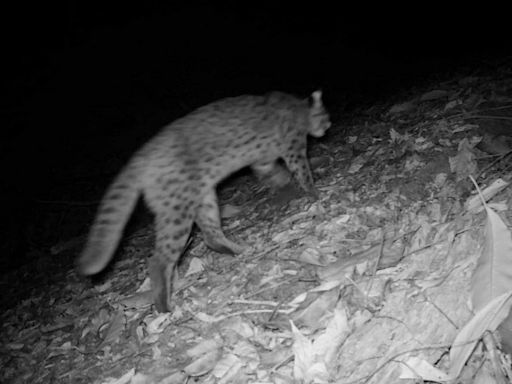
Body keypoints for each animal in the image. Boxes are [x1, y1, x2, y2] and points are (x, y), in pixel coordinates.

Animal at [77, 90, 332, 312]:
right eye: (326, 115)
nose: (328, 126)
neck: (297, 108)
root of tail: (141, 156)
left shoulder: (264, 161)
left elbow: (278, 174)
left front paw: (286, 186)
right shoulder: (293, 149)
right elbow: (303, 173)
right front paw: (315, 193)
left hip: (204, 199)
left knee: (211, 236)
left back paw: (240, 250)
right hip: (178, 212)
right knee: (159, 260)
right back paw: (164, 307)